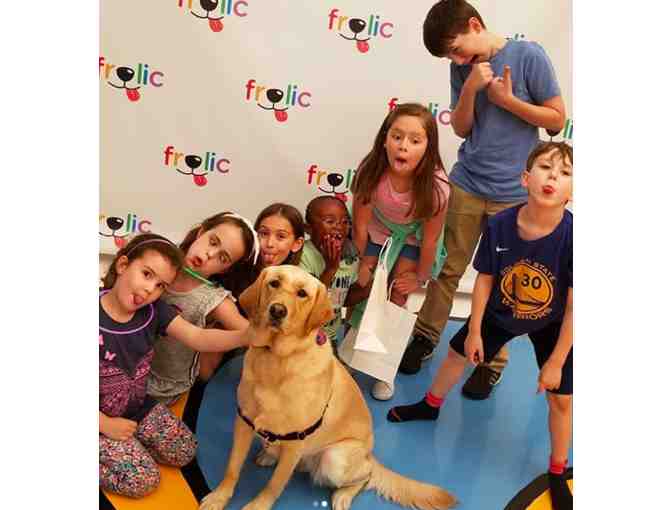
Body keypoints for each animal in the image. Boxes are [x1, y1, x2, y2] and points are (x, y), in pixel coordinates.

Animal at [199, 265, 457, 510]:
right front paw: (219, 497)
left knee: (365, 477)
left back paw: (343, 495)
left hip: (335, 458)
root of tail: (370, 455)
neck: (277, 358)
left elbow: (274, 485)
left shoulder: (296, 443)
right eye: (274, 283)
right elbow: (232, 468)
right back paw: (269, 455)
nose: (277, 310)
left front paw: (257, 505)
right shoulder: (244, 422)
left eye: (302, 293)